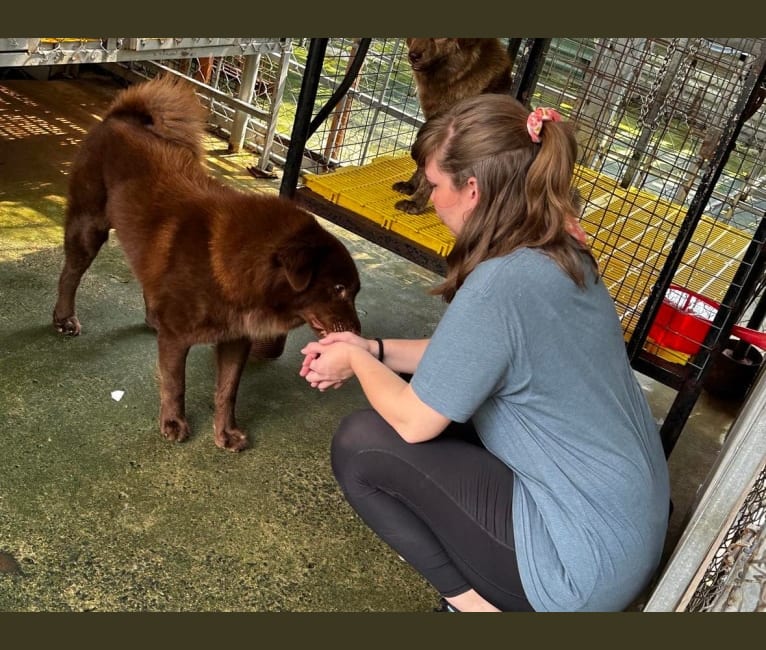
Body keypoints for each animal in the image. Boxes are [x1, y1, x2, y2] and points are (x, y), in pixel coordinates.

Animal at [53, 74, 364, 450]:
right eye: (339, 288)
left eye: (354, 291)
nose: (358, 334)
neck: (236, 265)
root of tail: (119, 117)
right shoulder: (177, 341)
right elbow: (176, 384)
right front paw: (174, 422)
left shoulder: (236, 341)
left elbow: (227, 390)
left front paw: (225, 431)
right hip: (88, 227)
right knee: (70, 275)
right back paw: (64, 318)